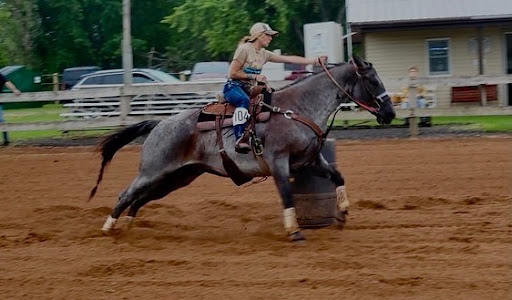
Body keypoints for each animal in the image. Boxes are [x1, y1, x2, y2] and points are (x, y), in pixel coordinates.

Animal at [89, 55, 396, 241]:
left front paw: (342, 211)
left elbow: (337, 176)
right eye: (373, 80)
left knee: (140, 198)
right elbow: (287, 195)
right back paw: (108, 228)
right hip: (152, 171)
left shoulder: (311, 160)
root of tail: (159, 124)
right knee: (126, 194)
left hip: (177, 177)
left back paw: (129, 227)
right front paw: (294, 231)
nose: (390, 113)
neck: (296, 109)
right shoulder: (278, 162)